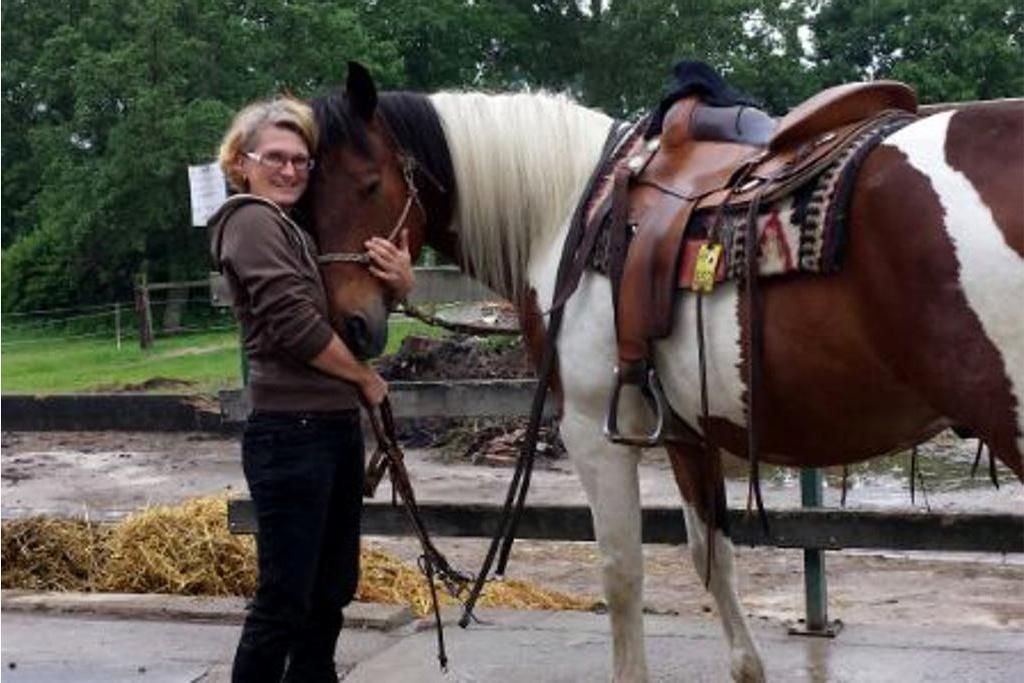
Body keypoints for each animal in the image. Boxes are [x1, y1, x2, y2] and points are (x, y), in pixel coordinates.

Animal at [305, 63, 1024, 682]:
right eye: (309, 197)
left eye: (368, 184)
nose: (350, 326)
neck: (568, 213)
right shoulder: (686, 431)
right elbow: (713, 557)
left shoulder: (594, 431)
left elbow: (623, 572)